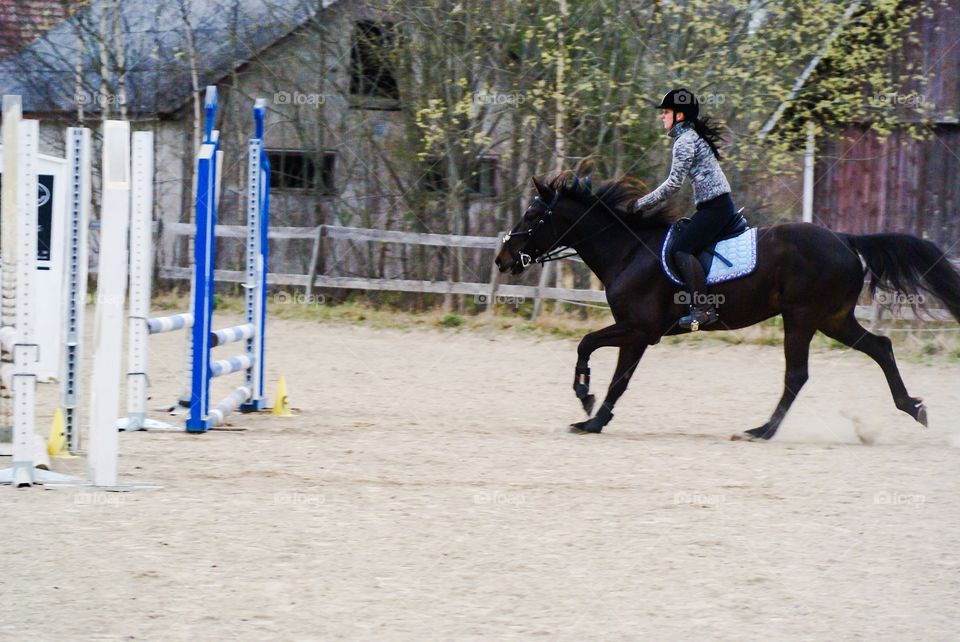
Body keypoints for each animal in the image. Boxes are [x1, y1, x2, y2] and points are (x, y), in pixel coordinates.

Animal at [496, 172, 960, 438]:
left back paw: (762, 431)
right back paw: (913, 407)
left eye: (532, 216)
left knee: (798, 375)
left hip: (802, 318)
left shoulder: (639, 329)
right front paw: (595, 420)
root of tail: (844, 240)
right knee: (880, 347)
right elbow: (619, 380)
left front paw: (584, 397)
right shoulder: (638, 335)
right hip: (833, 319)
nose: (502, 260)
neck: (628, 251)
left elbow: (586, 345)